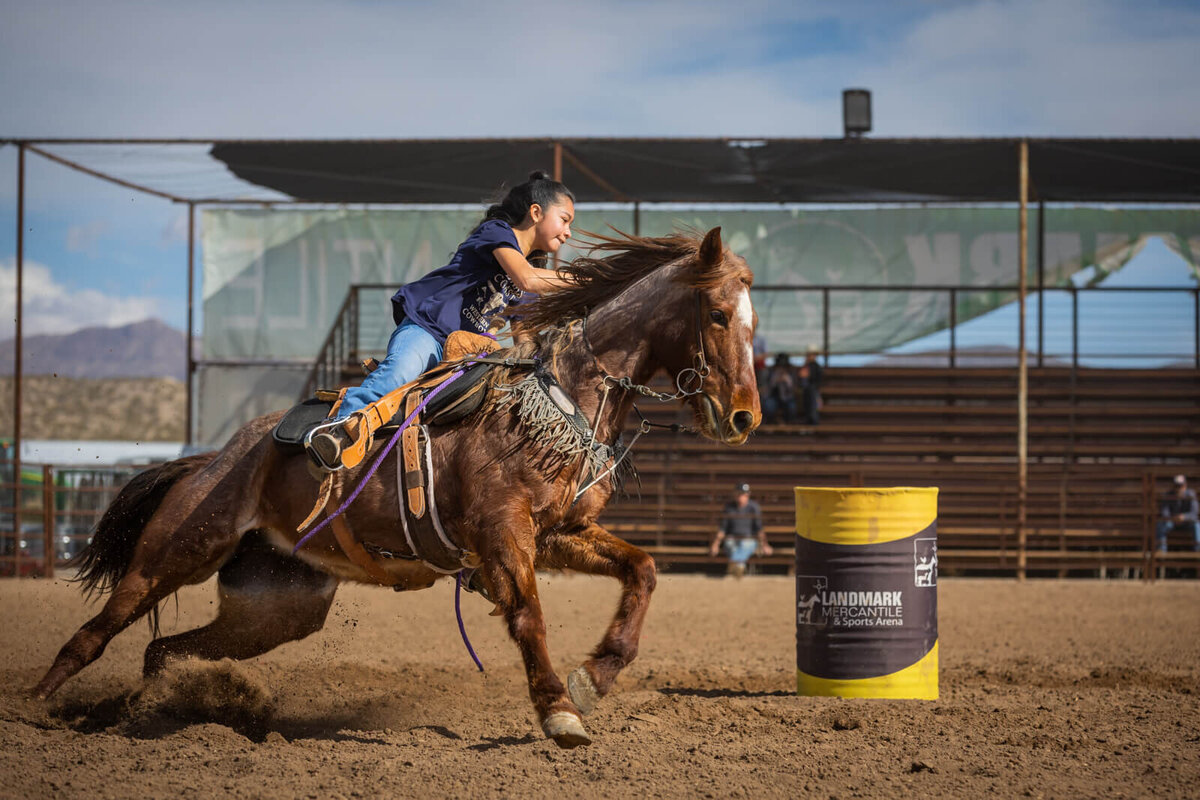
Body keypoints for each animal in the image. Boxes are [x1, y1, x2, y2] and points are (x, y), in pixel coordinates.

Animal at [32, 226, 758, 753]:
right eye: (720, 314)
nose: (744, 417)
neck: (559, 396)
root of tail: (218, 456)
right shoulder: (503, 533)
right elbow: (529, 615)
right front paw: (558, 712)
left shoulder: (559, 533)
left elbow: (644, 570)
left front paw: (594, 677)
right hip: (179, 549)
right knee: (98, 631)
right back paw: (37, 707)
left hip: (275, 607)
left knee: (163, 648)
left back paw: (158, 709)